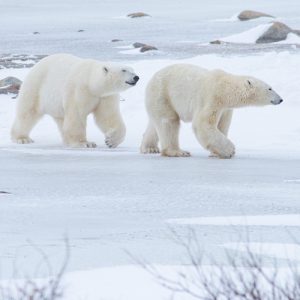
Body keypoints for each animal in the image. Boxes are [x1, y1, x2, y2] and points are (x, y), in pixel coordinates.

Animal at [10, 54, 139, 148]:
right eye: (124, 70)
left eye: (132, 70)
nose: (136, 77)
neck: (91, 82)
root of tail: (37, 65)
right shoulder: (79, 90)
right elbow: (76, 116)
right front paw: (85, 143)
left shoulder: (105, 96)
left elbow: (108, 117)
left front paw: (111, 141)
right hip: (36, 87)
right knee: (27, 113)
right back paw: (22, 138)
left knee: (61, 120)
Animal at [139, 64, 282, 158]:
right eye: (270, 88)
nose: (280, 99)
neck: (225, 88)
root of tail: (151, 79)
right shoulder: (211, 98)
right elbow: (203, 124)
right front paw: (230, 150)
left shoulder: (225, 108)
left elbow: (222, 125)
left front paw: (216, 152)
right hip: (163, 93)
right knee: (169, 122)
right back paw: (178, 151)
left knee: (156, 123)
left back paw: (149, 148)